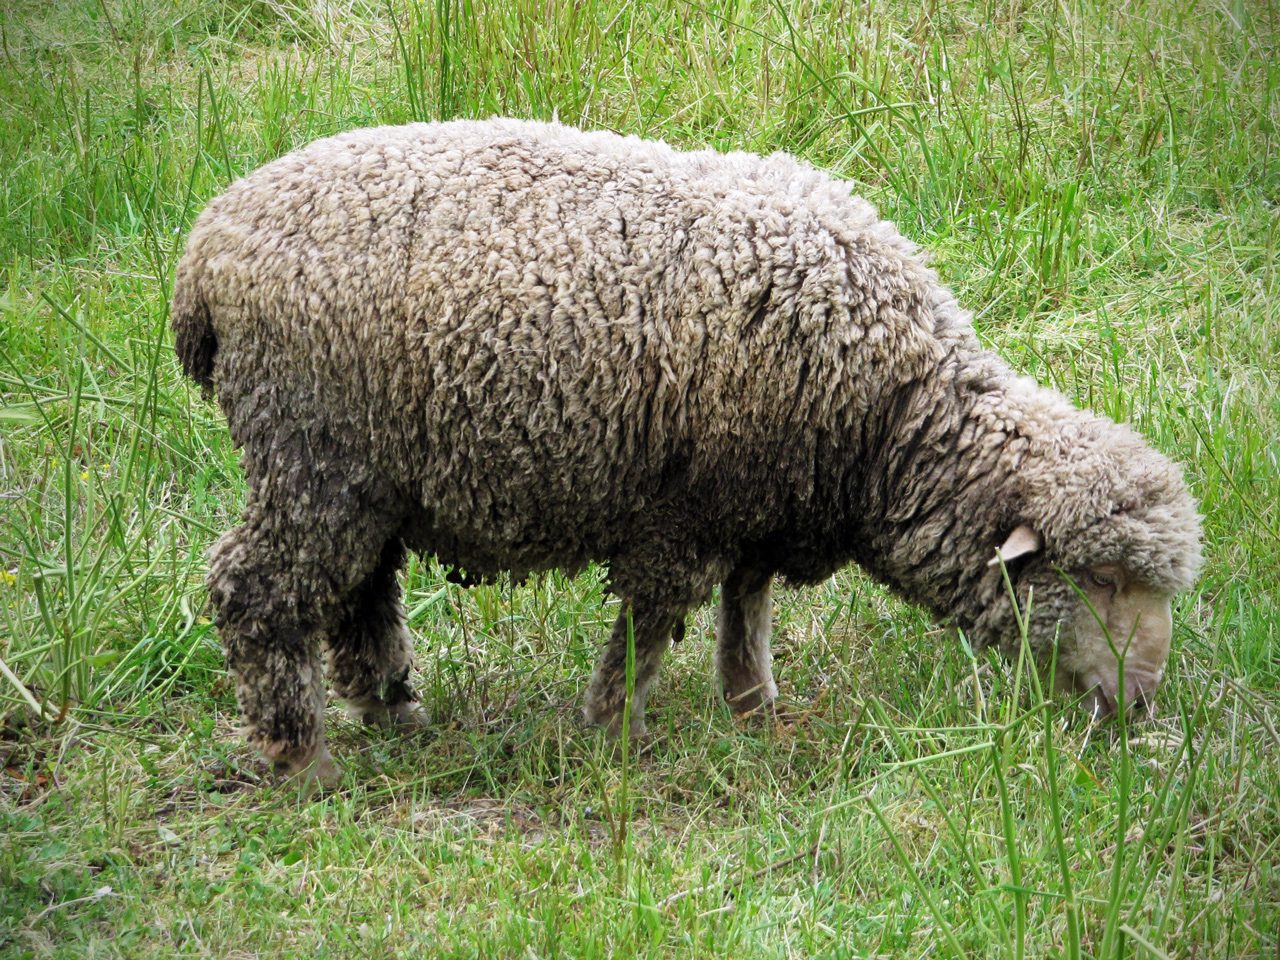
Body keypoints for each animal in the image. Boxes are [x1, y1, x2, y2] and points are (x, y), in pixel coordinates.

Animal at [171, 118, 1203, 787]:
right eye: (1099, 579)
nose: (1141, 703)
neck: (890, 416)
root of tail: (204, 256)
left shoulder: (756, 499)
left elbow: (747, 610)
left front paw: (755, 712)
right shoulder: (685, 511)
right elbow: (653, 623)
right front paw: (611, 733)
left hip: (366, 474)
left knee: (358, 592)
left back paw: (395, 712)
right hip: (313, 448)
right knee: (255, 588)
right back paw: (303, 759)